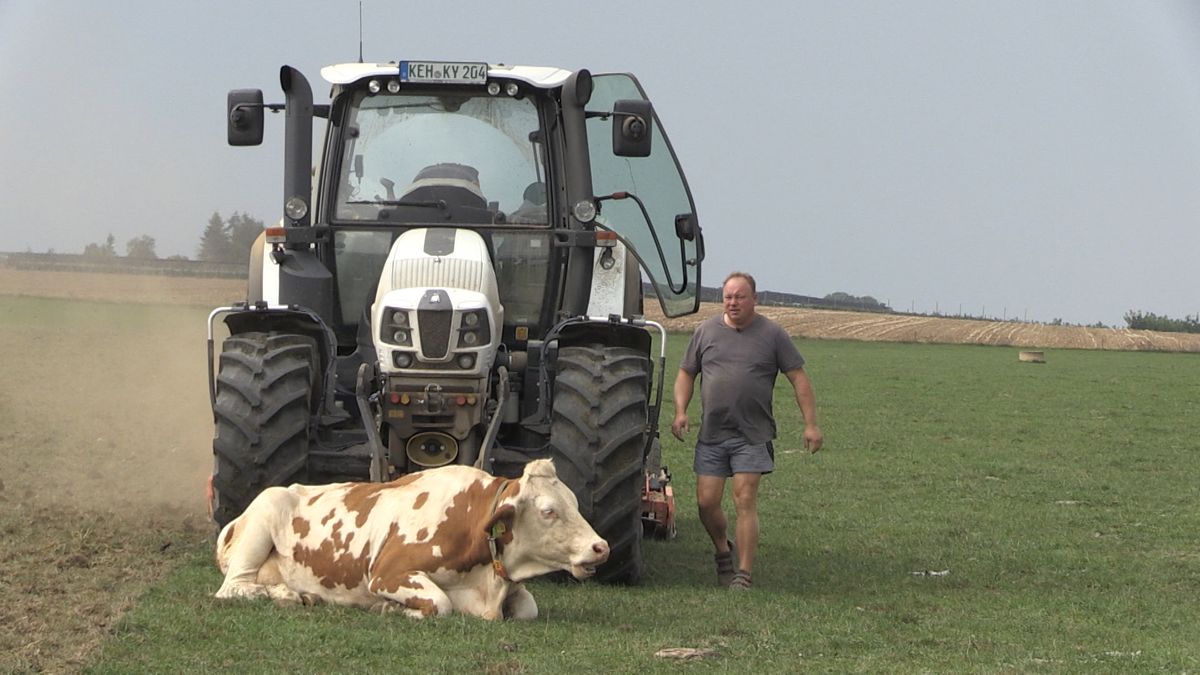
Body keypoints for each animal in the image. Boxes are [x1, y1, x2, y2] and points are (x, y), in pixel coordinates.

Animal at [213, 458, 609, 619]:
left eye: (573, 503)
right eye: (548, 511)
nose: (601, 547)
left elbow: (528, 609)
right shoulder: (387, 574)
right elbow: (441, 603)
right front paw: (389, 608)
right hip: (263, 520)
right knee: (232, 588)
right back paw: (288, 595)